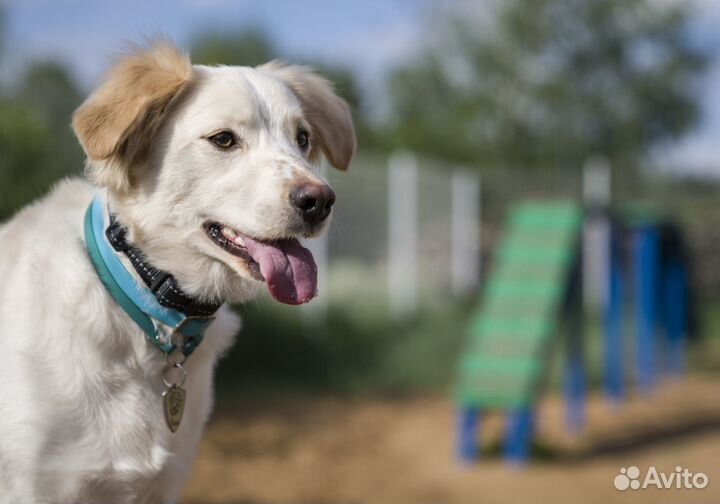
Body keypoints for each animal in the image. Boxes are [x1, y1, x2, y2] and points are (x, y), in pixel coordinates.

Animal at [0, 41, 356, 502]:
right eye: (223, 139)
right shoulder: (36, 485)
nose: (320, 201)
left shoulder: (164, 484)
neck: (148, 314)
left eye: (303, 138)